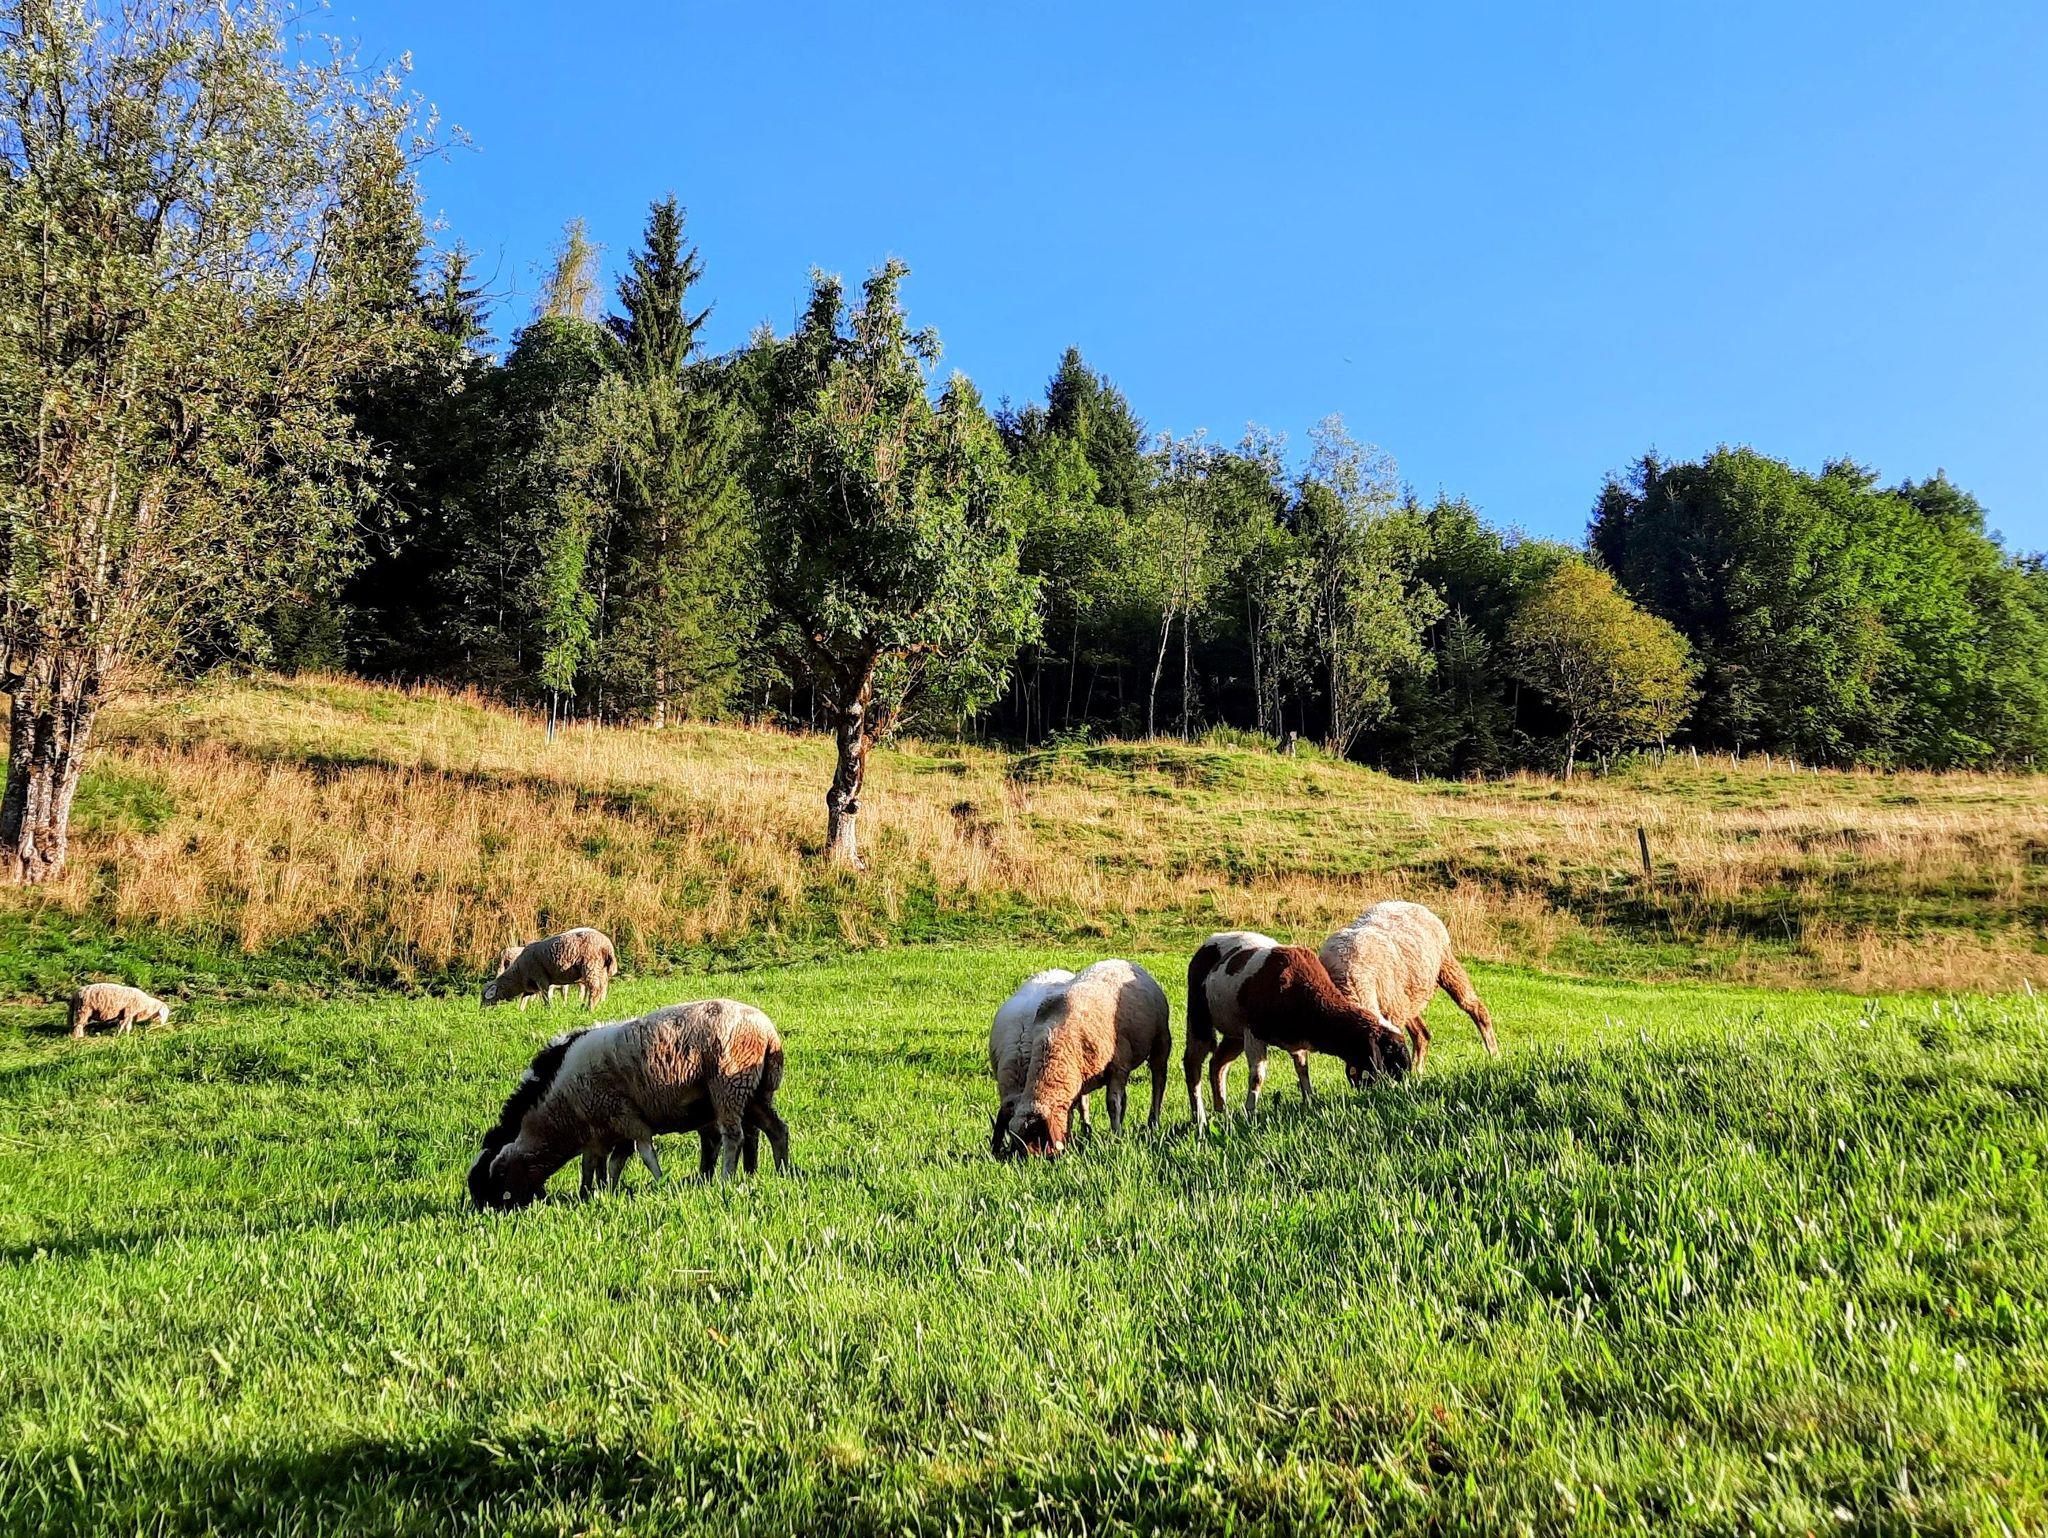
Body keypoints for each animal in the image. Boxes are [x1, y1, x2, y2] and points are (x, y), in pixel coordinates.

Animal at [469, 998, 789, 1209]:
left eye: (496, 1178)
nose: (490, 1212)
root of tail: (767, 1033)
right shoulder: (604, 1129)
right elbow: (603, 1163)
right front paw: (597, 1192)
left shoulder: (623, 1116)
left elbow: (644, 1154)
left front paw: (659, 1183)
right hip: (755, 1093)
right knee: (777, 1129)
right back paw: (782, 1170)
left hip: (728, 1087)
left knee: (734, 1136)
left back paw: (726, 1178)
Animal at [481, 927, 617, 1010]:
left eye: (484, 999)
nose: (482, 1012)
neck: (518, 975)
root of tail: (607, 946)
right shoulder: (530, 986)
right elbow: (524, 999)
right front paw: (521, 1011)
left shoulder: (541, 978)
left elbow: (546, 996)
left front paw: (549, 1009)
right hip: (601, 970)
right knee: (602, 988)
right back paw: (599, 1005)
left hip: (591, 964)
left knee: (595, 988)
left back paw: (589, 1008)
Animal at [993, 960, 1171, 1159]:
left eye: (1037, 1133)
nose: (1032, 1161)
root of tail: (1123, 961)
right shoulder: (1074, 1079)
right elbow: (1075, 1111)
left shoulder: (1118, 1067)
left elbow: (1112, 1104)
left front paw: (1116, 1136)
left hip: (1160, 1041)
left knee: (1158, 1081)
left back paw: (1153, 1122)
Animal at [1184, 931, 1411, 1131]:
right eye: (1389, 1049)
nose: (1407, 1074)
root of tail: (1209, 941)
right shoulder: (1253, 1033)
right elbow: (1257, 1077)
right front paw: (1250, 1113)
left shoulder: (1296, 1043)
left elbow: (1302, 1069)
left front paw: (1309, 1101)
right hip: (1199, 1017)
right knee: (1192, 1064)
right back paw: (1200, 1118)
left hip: (1234, 1033)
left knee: (1218, 1064)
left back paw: (1222, 1111)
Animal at [1318, 901, 1498, 1070]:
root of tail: (1408, 903)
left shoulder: (1393, 1013)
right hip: (1407, 996)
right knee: (1422, 1034)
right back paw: (1417, 1073)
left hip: (1445, 967)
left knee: (1476, 1009)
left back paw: (1494, 1055)